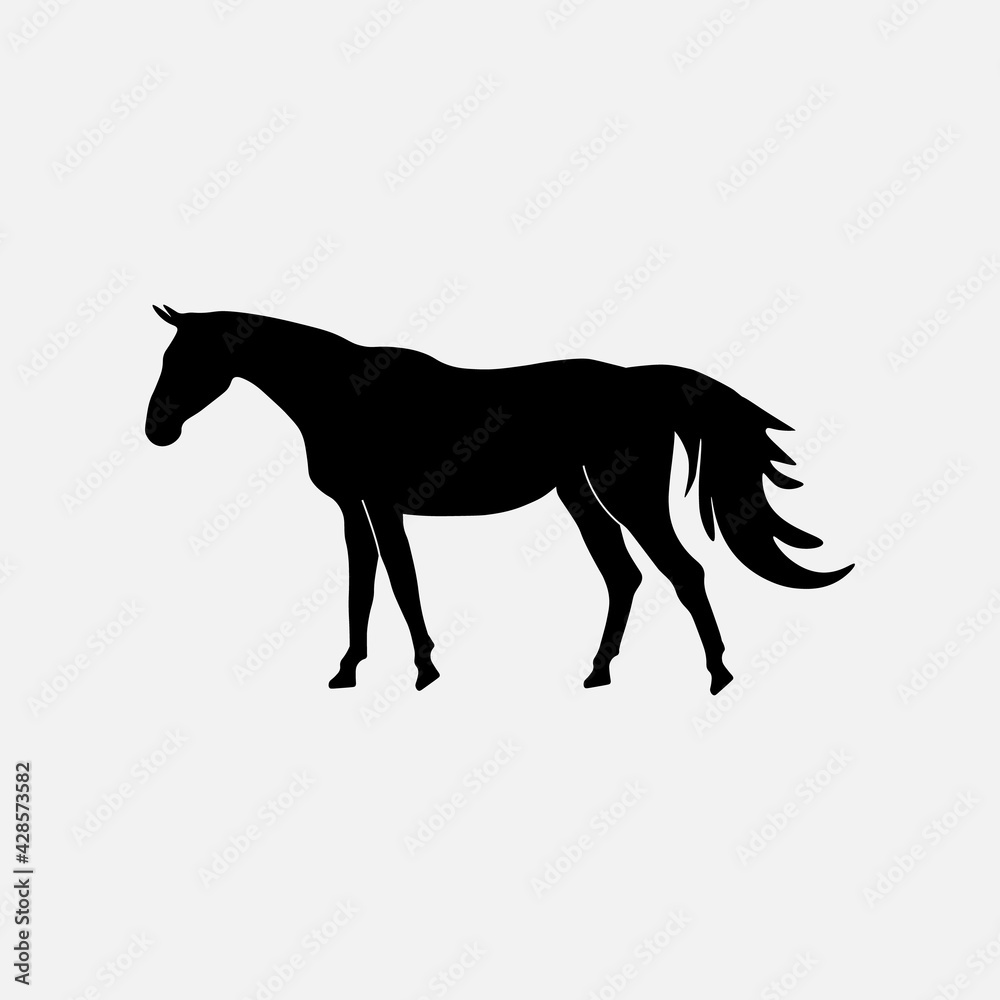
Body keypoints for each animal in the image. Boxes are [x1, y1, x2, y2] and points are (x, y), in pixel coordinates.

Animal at [144, 305, 852, 695]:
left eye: (185, 360)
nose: (157, 430)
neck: (345, 393)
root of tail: (638, 382)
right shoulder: (353, 507)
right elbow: (363, 580)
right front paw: (348, 669)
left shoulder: (381, 503)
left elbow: (399, 578)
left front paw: (424, 668)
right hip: (578, 493)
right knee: (622, 576)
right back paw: (599, 671)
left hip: (627, 494)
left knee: (684, 571)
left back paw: (717, 675)